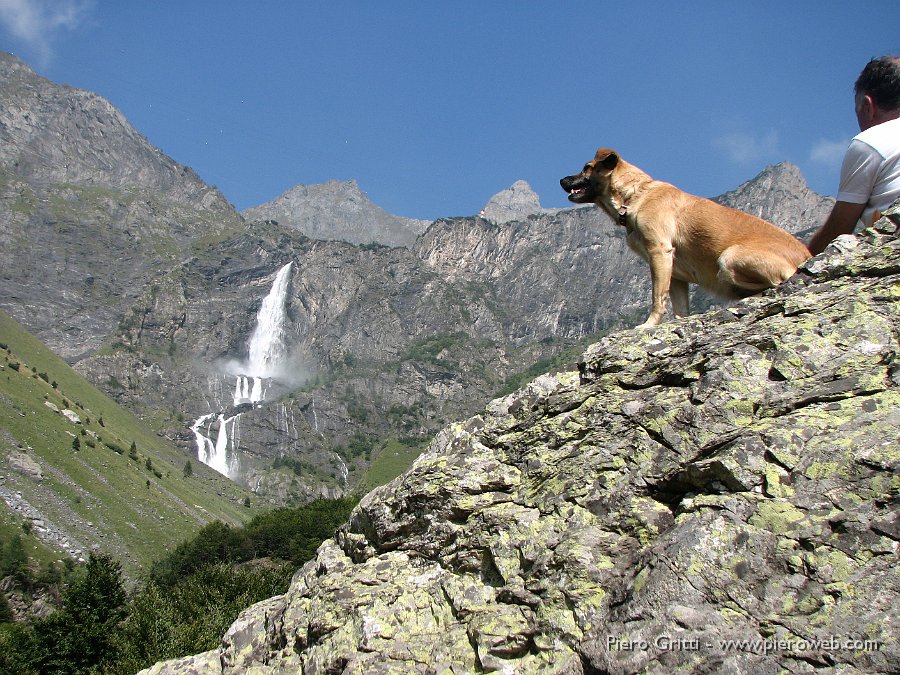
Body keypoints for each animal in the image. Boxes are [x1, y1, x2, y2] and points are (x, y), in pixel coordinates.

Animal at [560, 148, 812, 328]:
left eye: (587, 167)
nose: (562, 180)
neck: (636, 195)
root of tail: (806, 255)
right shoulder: (676, 274)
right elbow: (679, 309)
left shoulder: (659, 252)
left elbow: (657, 298)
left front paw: (649, 325)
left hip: (728, 259)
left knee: (777, 281)